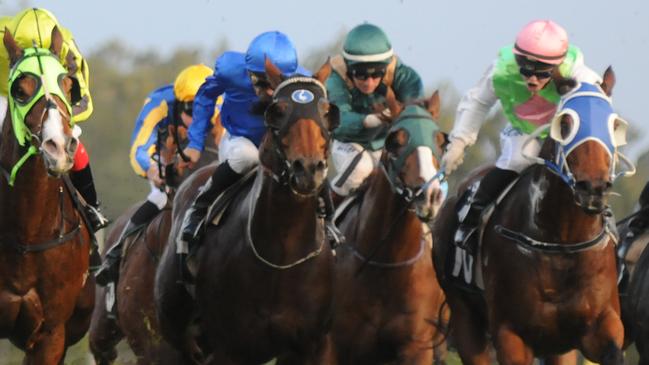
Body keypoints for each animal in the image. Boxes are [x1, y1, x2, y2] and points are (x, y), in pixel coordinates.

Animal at [156, 59, 340, 364]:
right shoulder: (231, 348)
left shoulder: (314, 344)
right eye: (278, 111)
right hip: (177, 334)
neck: (282, 256)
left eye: (328, 112)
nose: (308, 168)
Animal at [332, 91, 448, 364]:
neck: (387, 264)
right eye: (395, 142)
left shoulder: (417, 346)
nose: (429, 196)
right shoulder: (328, 343)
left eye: (442, 141)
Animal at [430, 67, 632, 362]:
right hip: (464, 317)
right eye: (565, 124)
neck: (560, 242)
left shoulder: (600, 326)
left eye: (614, 125)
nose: (594, 187)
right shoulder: (510, 334)